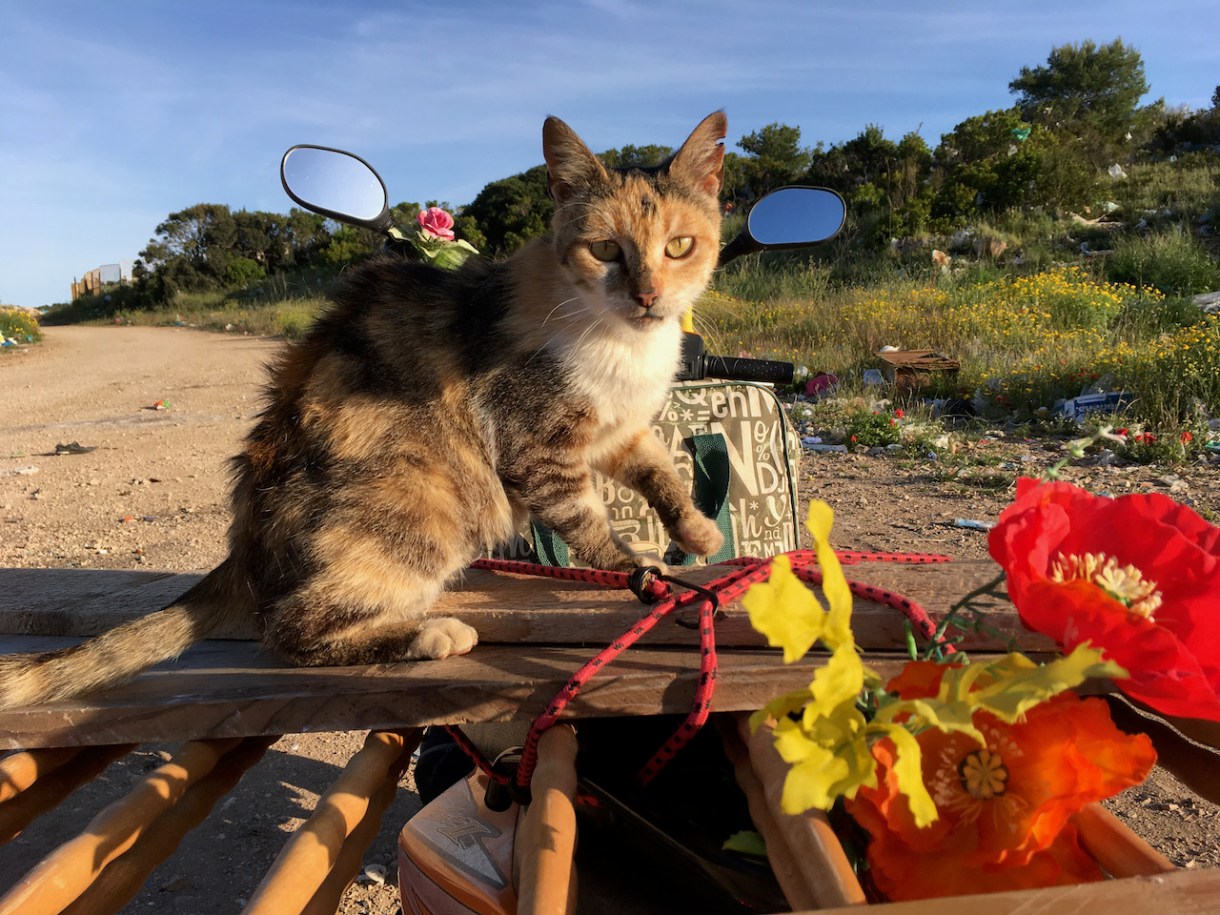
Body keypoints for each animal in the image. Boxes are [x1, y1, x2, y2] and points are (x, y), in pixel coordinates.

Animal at [0, 109, 722, 707]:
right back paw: (425, 635)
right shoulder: (535, 443)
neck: (622, 344)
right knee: (288, 629)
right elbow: (588, 519)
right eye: (605, 249)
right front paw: (638, 570)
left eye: (678, 246)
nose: (648, 295)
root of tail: (244, 546)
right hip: (419, 507)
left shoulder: (617, 430)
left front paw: (696, 531)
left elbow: (658, 468)